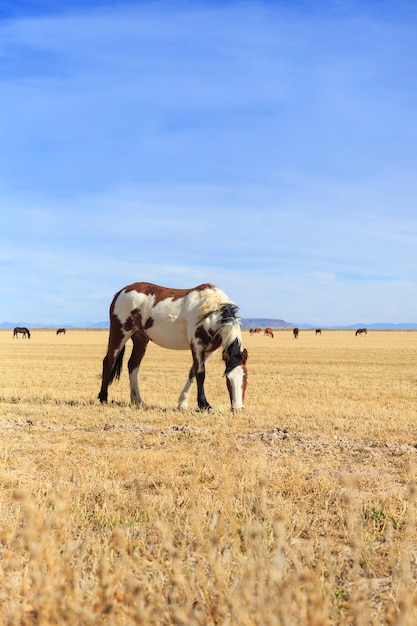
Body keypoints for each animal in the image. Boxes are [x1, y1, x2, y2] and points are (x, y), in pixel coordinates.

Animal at [97, 282, 247, 410]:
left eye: (245, 378)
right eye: (227, 379)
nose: (238, 408)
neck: (211, 310)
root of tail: (121, 292)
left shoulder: (210, 350)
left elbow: (192, 372)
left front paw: (182, 403)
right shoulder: (197, 345)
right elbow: (200, 373)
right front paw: (204, 404)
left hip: (140, 338)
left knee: (133, 365)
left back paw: (138, 400)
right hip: (120, 333)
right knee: (109, 361)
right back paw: (103, 398)